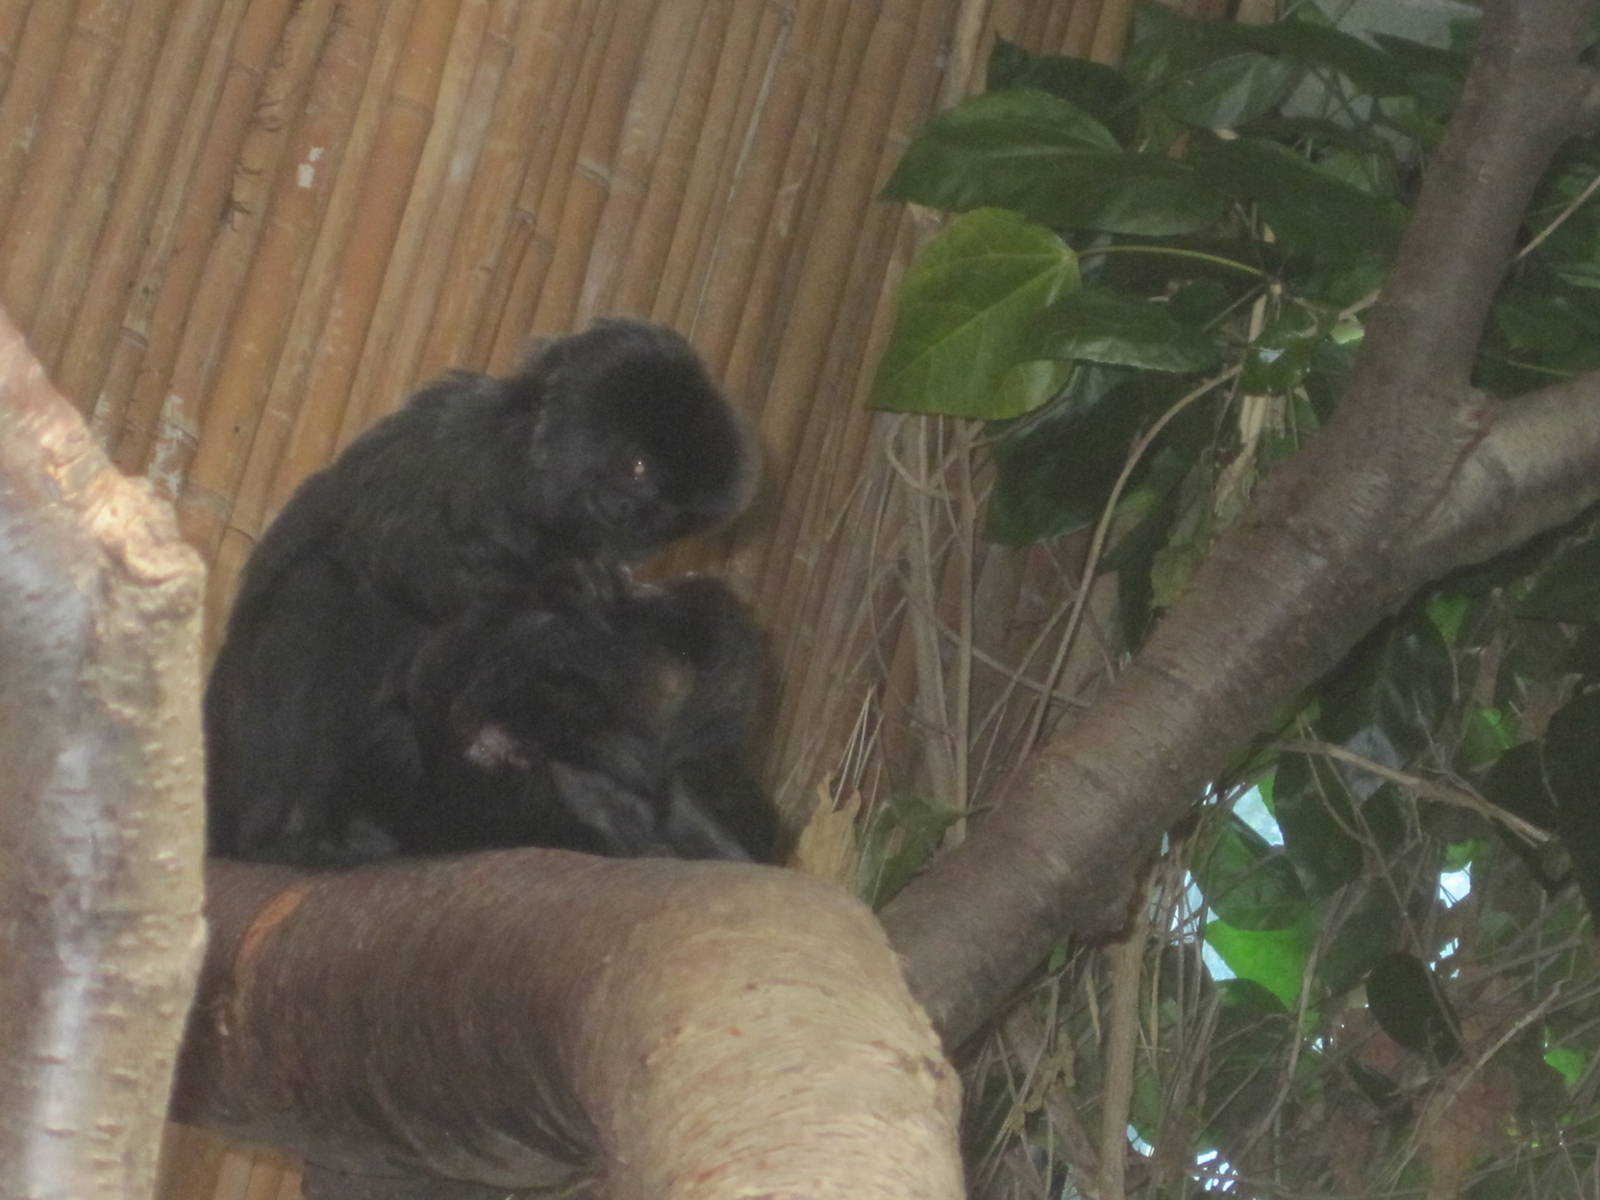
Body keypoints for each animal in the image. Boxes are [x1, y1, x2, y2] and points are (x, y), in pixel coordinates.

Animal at [204, 319, 759, 866]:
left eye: (665, 512)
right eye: (637, 468)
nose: (636, 515)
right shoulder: (456, 438)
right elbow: (400, 551)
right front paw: (552, 581)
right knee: (317, 588)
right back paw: (283, 833)